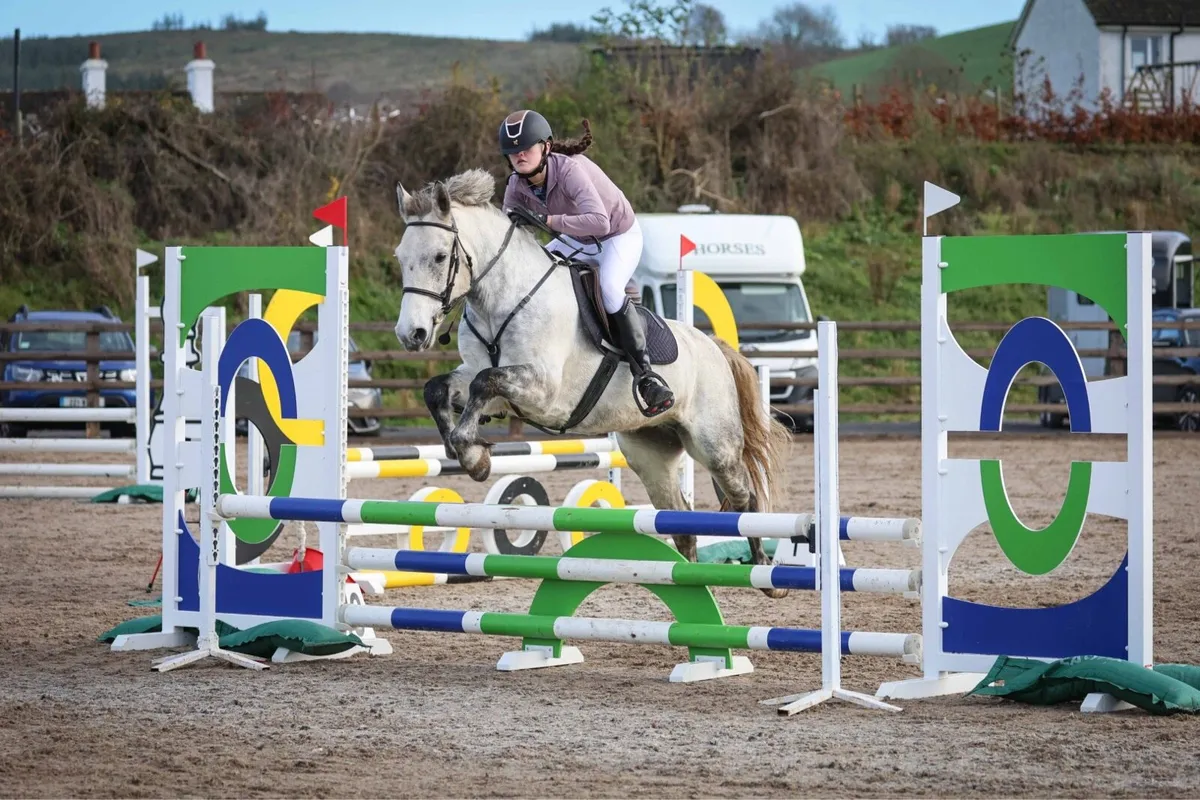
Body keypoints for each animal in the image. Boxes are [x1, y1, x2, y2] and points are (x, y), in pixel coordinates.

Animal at [392, 168, 794, 596]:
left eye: (439, 257)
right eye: (401, 257)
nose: (411, 334)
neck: (502, 301)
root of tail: (714, 346)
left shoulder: (544, 391)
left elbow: (486, 382)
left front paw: (472, 453)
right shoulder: (495, 386)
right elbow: (440, 388)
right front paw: (471, 455)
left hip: (714, 446)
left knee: (744, 497)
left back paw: (767, 575)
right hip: (650, 453)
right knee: (681, 520)